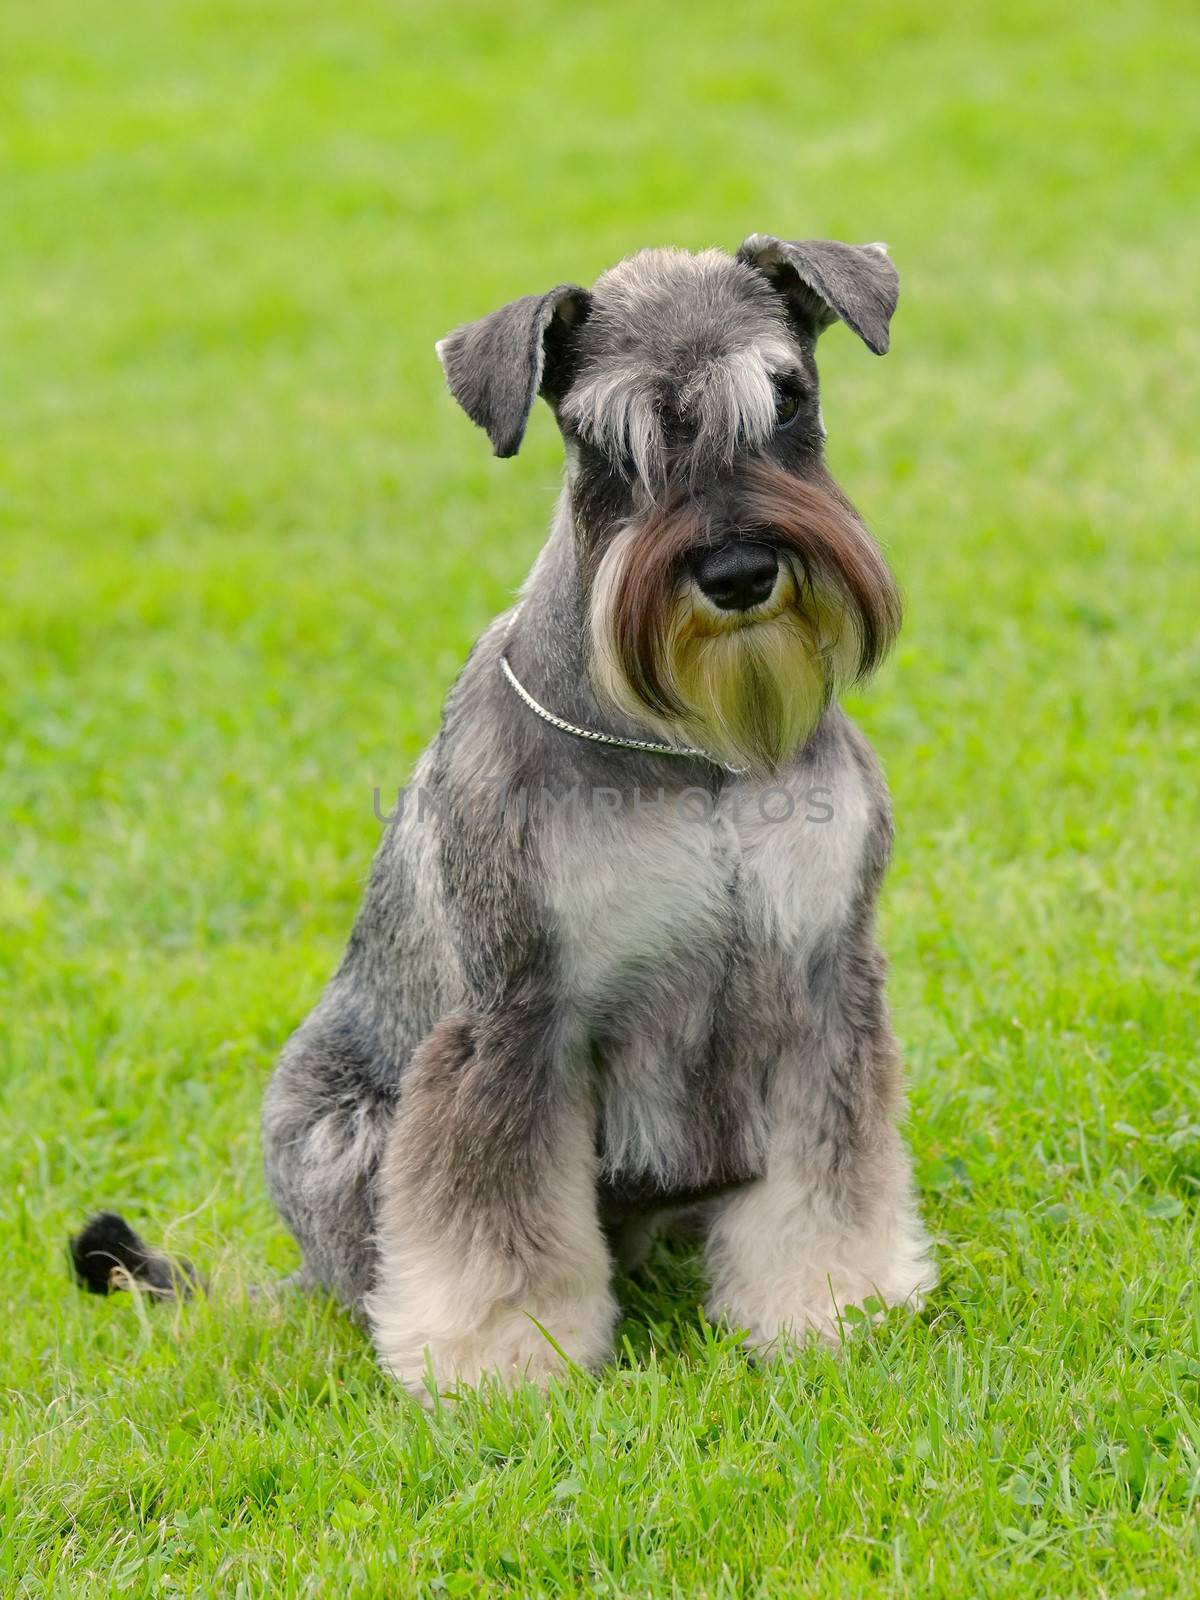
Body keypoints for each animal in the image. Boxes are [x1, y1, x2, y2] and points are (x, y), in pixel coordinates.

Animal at [72, 232, 940, 1395]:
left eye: (789, 398)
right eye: (605, 443)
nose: (739, 571)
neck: (694, 750)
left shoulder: (821, 983)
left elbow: (826, 1175)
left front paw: (832, 1305)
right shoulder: (518, 1017)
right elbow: (495, 1214)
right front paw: (499, 1364)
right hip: (333, 1124)